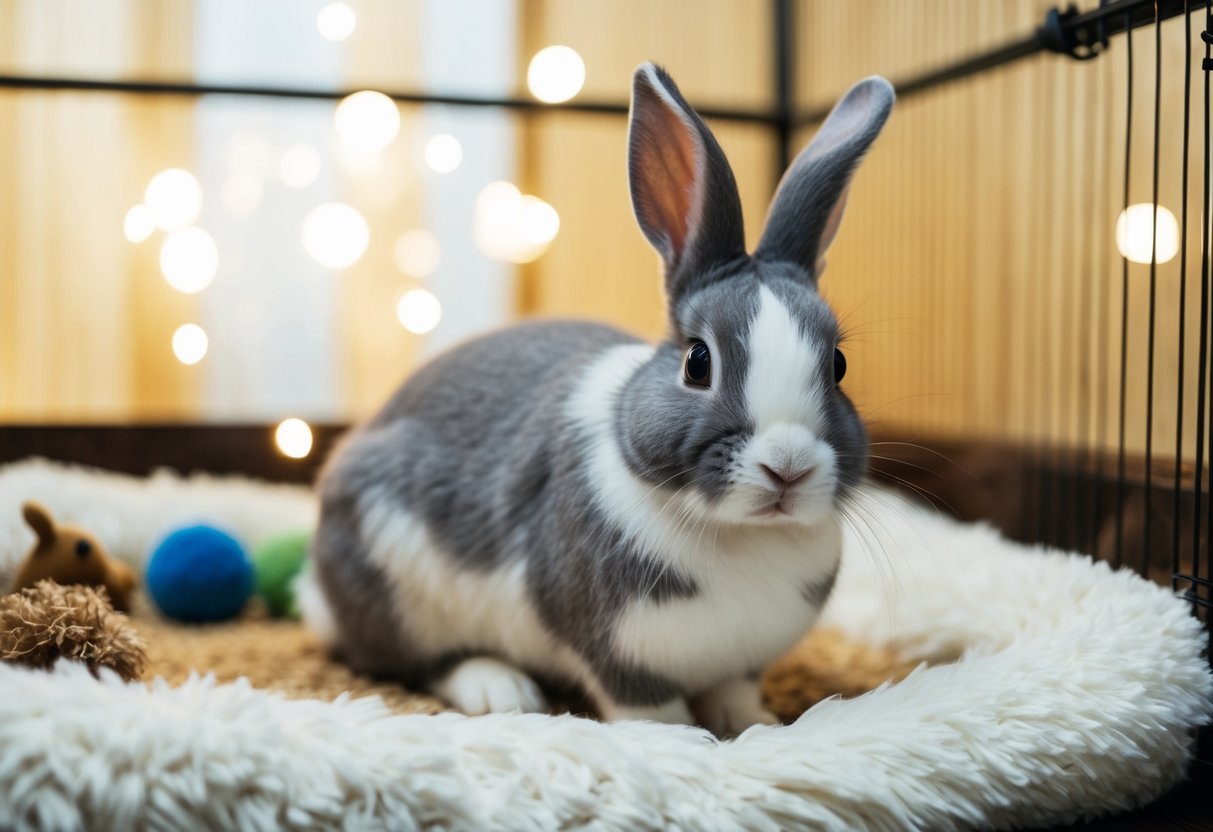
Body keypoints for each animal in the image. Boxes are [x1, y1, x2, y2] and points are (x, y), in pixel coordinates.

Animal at [302, 63, 894, 737]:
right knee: (410, 661)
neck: (741, 535)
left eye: (838, 366)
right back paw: (501, 690)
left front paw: (759, 725)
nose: (788, 467)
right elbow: (645, 703)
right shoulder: (612, 649)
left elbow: (736, 693)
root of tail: (318, 592)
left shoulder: (742, 661)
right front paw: (680, 739)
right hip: (393, 585)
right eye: (698, 362)